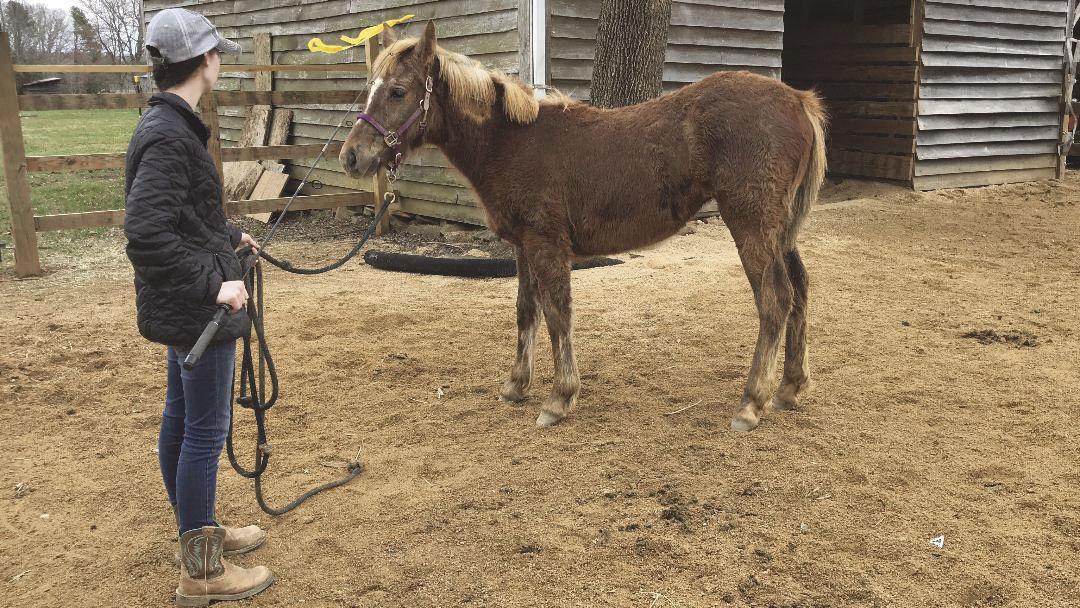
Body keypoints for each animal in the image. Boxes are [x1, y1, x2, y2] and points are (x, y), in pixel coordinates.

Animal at [340, 22, 827, 432]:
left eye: (398, 91)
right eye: (370, 90)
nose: (351, 156)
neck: (511, 143)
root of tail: (798, 101)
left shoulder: (547, 244)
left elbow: (558, 314)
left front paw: (559, 398)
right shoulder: (522, 246)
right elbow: (527, 310)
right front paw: (516, 385)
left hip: (750, 225)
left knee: (774, 300)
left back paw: (751, 403)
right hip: (779, 230)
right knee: (800, 290)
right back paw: (789, 388)